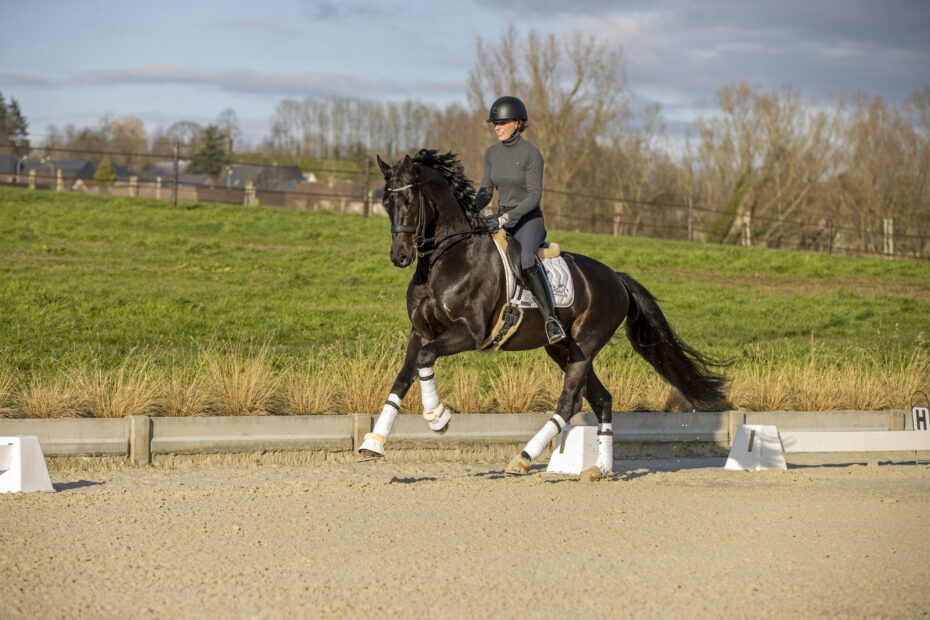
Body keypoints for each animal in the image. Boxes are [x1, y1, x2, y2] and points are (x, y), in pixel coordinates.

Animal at [356, 150, 724, 474]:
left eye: (409, 201)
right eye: (386, 203)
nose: (399, 257)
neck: (448, 258)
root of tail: (616, 278)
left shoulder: (469, 333)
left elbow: (425, 359)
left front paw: (438, 418)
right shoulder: (420, 332)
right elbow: (404, 377)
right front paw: (373, 443)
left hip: (585, 345)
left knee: (570, 402)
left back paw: (523, 458)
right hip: (563, 348)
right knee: (602, 399)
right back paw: (599, 469)